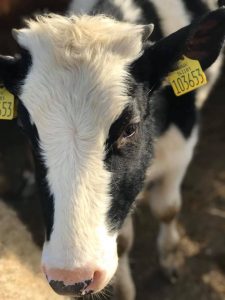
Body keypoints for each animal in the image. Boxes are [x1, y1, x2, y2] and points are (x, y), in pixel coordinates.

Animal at [0, 1, 224, 298]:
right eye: (24, 127)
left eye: (130, 127)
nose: (70, 277)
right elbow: (125, 240)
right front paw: (124, 289)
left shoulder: (182, 145)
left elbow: (167, 208)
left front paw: (170, 257)